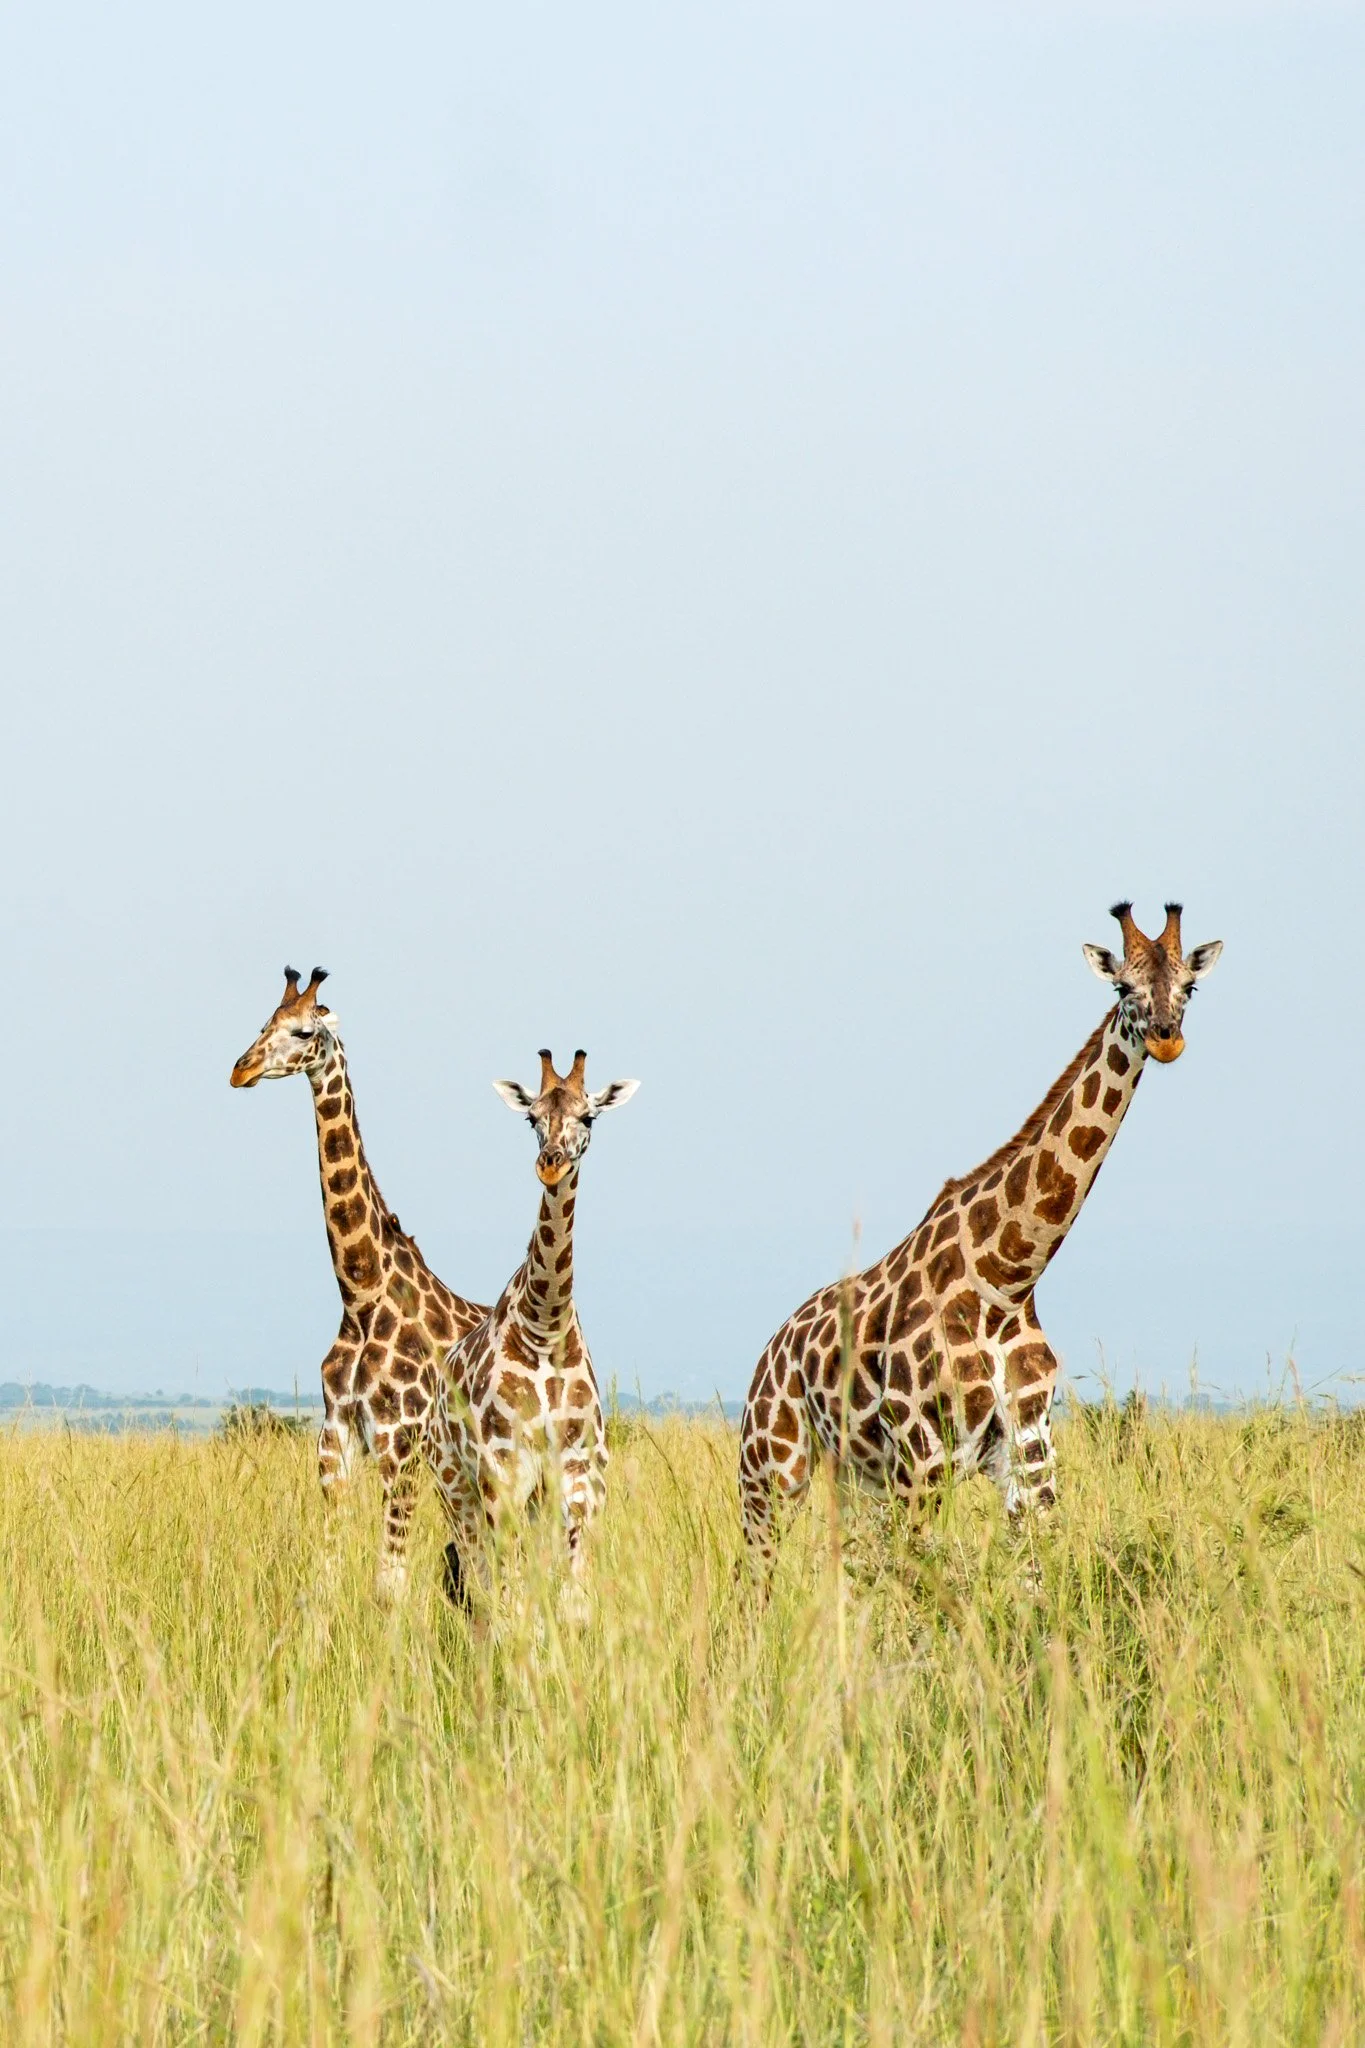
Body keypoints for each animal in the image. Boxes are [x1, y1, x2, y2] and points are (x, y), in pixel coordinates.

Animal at [230, 966, 486, 1599]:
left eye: (302, 1031)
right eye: (263, 1022)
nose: (240, 1069)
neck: (362, 1293)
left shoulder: (401, 1443)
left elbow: (388, 1583)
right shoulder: (334, 1438)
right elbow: (323, 1576)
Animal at [425, 1049, 638, 1610]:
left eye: (589, 1117)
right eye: (532, 1118)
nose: (552, 1164)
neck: (545, 1326)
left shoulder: (578, 1476)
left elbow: (571, 1596)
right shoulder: (503, 1474)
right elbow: (513, 1592)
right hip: (456, 1486)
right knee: (478, 1577)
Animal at [738, 903, 1223, 1573]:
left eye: (1189, 986)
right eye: (1123, 987)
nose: (1166, 1037)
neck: (1007, 1279)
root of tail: (770, 1352)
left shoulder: (1029, 1458)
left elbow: (1035, 1578)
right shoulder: (923, 1457)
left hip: (856, 1477)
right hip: (772, 1467)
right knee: (756, 1574)